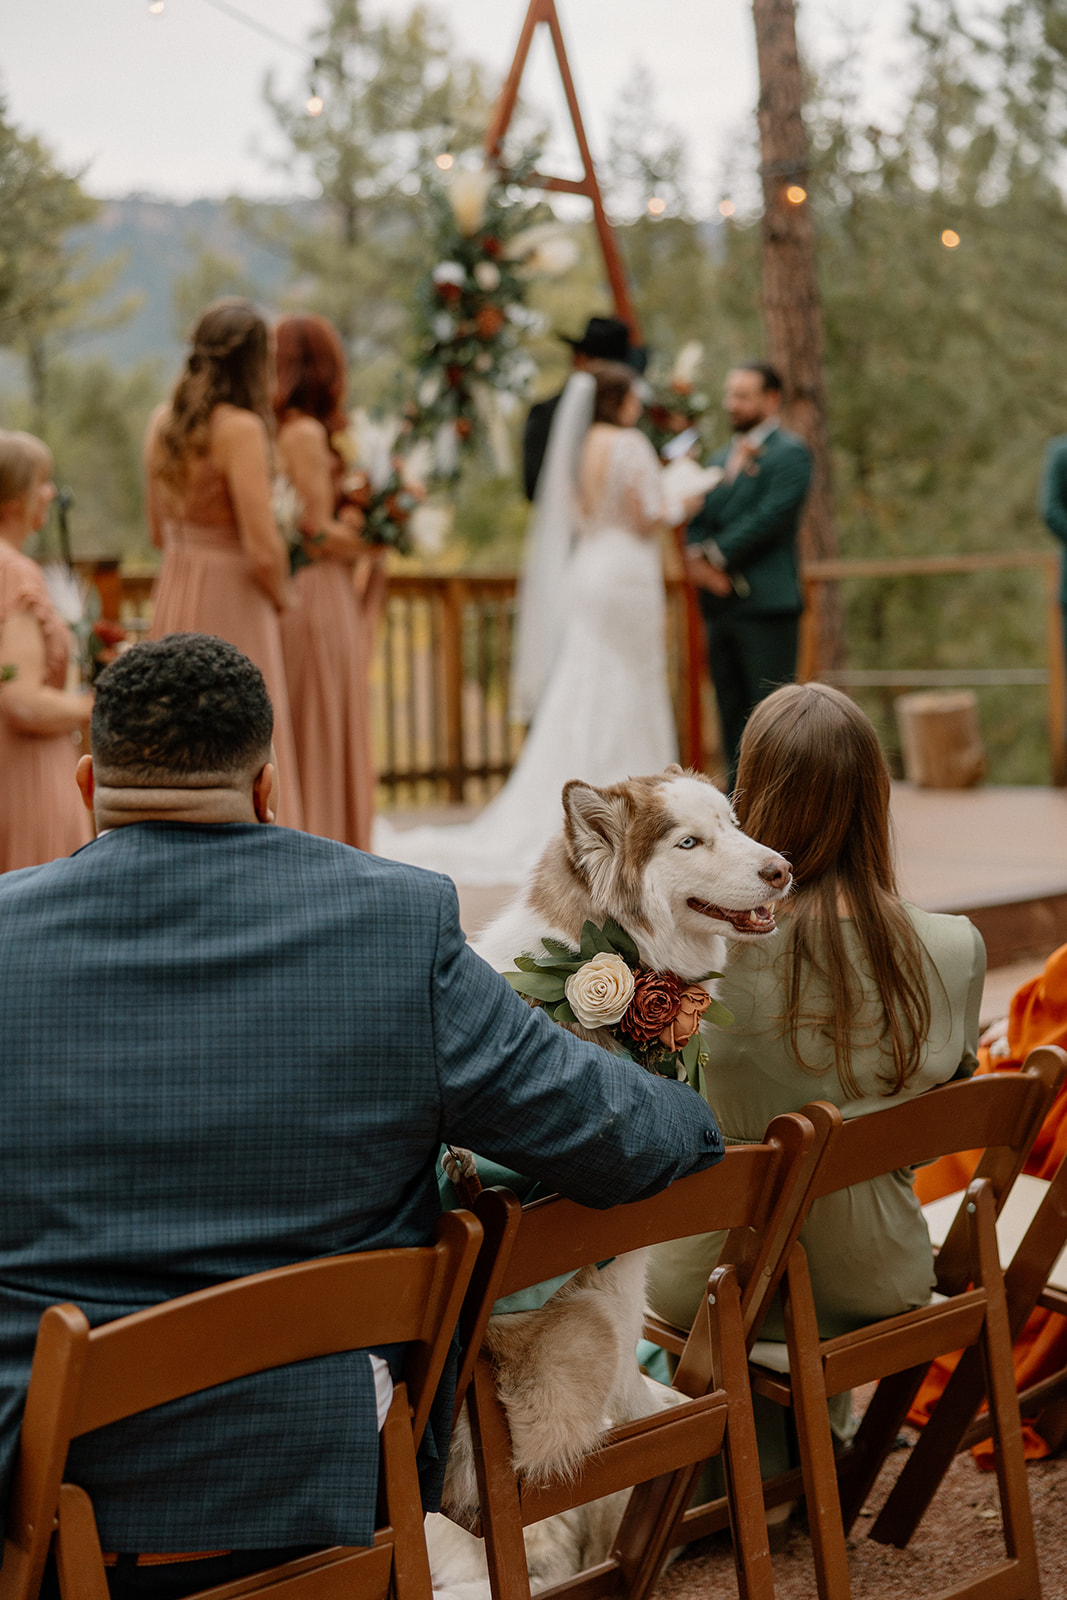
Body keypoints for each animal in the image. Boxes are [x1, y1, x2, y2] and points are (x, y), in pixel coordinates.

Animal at [435, 768, 793, 1593]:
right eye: (688, 843)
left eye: (732, 824)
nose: (782, 870)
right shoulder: (618, 1259)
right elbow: (634, 1375)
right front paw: (657, 1414)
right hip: (587, 1321)